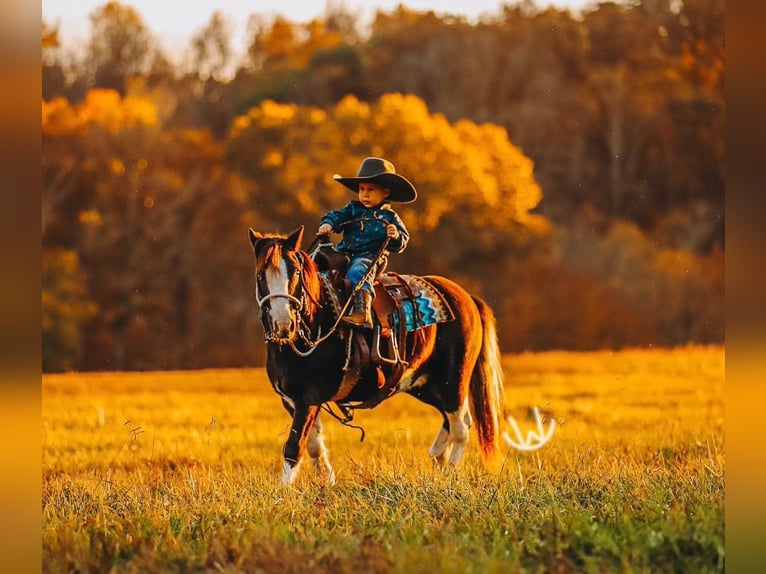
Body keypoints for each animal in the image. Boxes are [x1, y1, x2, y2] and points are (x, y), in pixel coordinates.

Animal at [248, 225, 506, 485]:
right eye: (260, 277)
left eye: (295, 274)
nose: (283, 324)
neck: (318, 320)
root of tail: (467, 298)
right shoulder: (291, 399)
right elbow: (313, 445)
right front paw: (327, 482)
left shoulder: (308, 398)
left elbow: (294, 446)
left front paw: (284, 490)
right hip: (425, 384)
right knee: (451, 422)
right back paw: (437, 456)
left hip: (454, 381)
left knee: (461, 428)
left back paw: (448, 473)